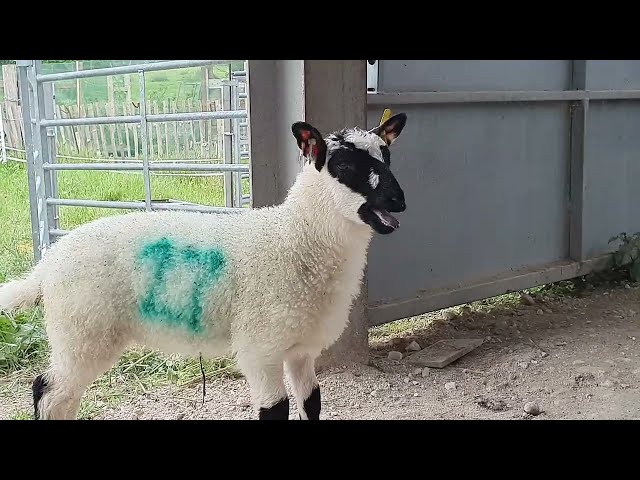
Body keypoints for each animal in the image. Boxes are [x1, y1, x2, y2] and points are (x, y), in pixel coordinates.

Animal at [0, 112, 408, 420]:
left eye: (387, 158)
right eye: (344, 165)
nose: (399, 201)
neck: (293, 238)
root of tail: (45, 266)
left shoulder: (300, 349)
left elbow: (312, 405)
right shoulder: (260, 347)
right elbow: (275, 411)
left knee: (62, 397)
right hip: (82, 329)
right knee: (48, 390)